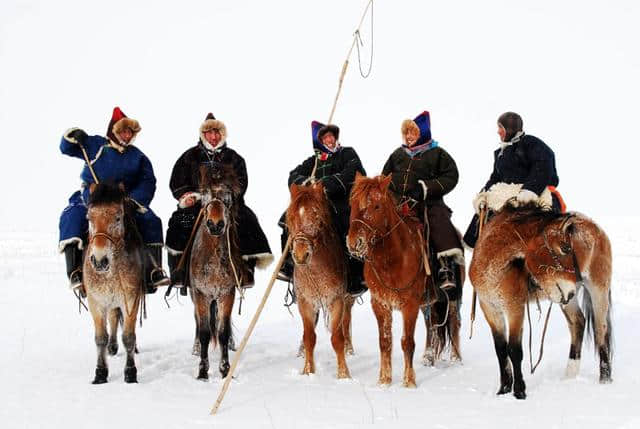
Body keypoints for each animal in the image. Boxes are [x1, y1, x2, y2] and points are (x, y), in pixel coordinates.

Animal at [84, 182, 144, 382]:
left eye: (118, 218)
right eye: (89, 218)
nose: (99, 260)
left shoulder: (131, 300)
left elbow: (129, 337)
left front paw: (131, 373)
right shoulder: (96, 302)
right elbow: (100, 338)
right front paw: (100, 373)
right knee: (113, 317)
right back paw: (112, 347)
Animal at [189, 163, 246, 378]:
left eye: (227, 195)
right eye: (205, 194)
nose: (215, 224)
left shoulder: (226, 294)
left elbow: (222, 332)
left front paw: (225, 369)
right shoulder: (201, 294)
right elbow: (205, 332)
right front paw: (203, 371)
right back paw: (196, 347)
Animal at [288, 181, 352, 378]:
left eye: (316, 215)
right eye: (291, 216)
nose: (301, 255)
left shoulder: (336, 299)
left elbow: (337, 337)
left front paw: (343, 375)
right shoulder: (305, 302)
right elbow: (309, 337)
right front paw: (308, 371)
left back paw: (349, 349)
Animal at [348, 172, 438, 386]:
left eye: (377, 206)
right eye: (352, 203)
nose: (355, 242)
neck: (393, 260)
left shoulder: (410, 304)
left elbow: (407, 342)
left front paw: (409, 381)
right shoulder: (380, 303)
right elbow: (385, 341)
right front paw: (384, 379)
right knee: (431, 325)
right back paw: (428, 356)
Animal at [470, 206, 616, 400]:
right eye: (565, 248)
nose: (572, 289)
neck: (491, 265)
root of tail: (595, 226)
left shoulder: (514, 308)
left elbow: (514, 350)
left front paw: (519, 391)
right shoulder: (490, 309)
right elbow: (501, 350)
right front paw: (503, 389)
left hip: (595, 289)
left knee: (601, 331)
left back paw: (605, 380)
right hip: (564, 298)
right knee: (578, 322)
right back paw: (569, 376)